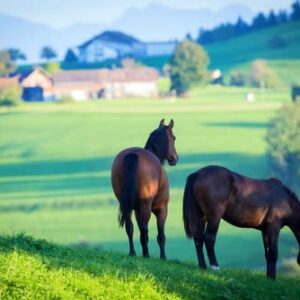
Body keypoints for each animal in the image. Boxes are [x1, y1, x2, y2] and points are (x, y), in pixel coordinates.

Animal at [112, 118, 178, 258]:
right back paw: (146, 254)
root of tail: (132, 155)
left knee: (130, 227)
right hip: (146, 205)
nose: (175, 159)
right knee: (144, 229)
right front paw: (163, 257)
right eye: (174, 138)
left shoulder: (137, 210)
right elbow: (161, 235)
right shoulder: (162, 209)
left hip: (126, 204)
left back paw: (133, 253)